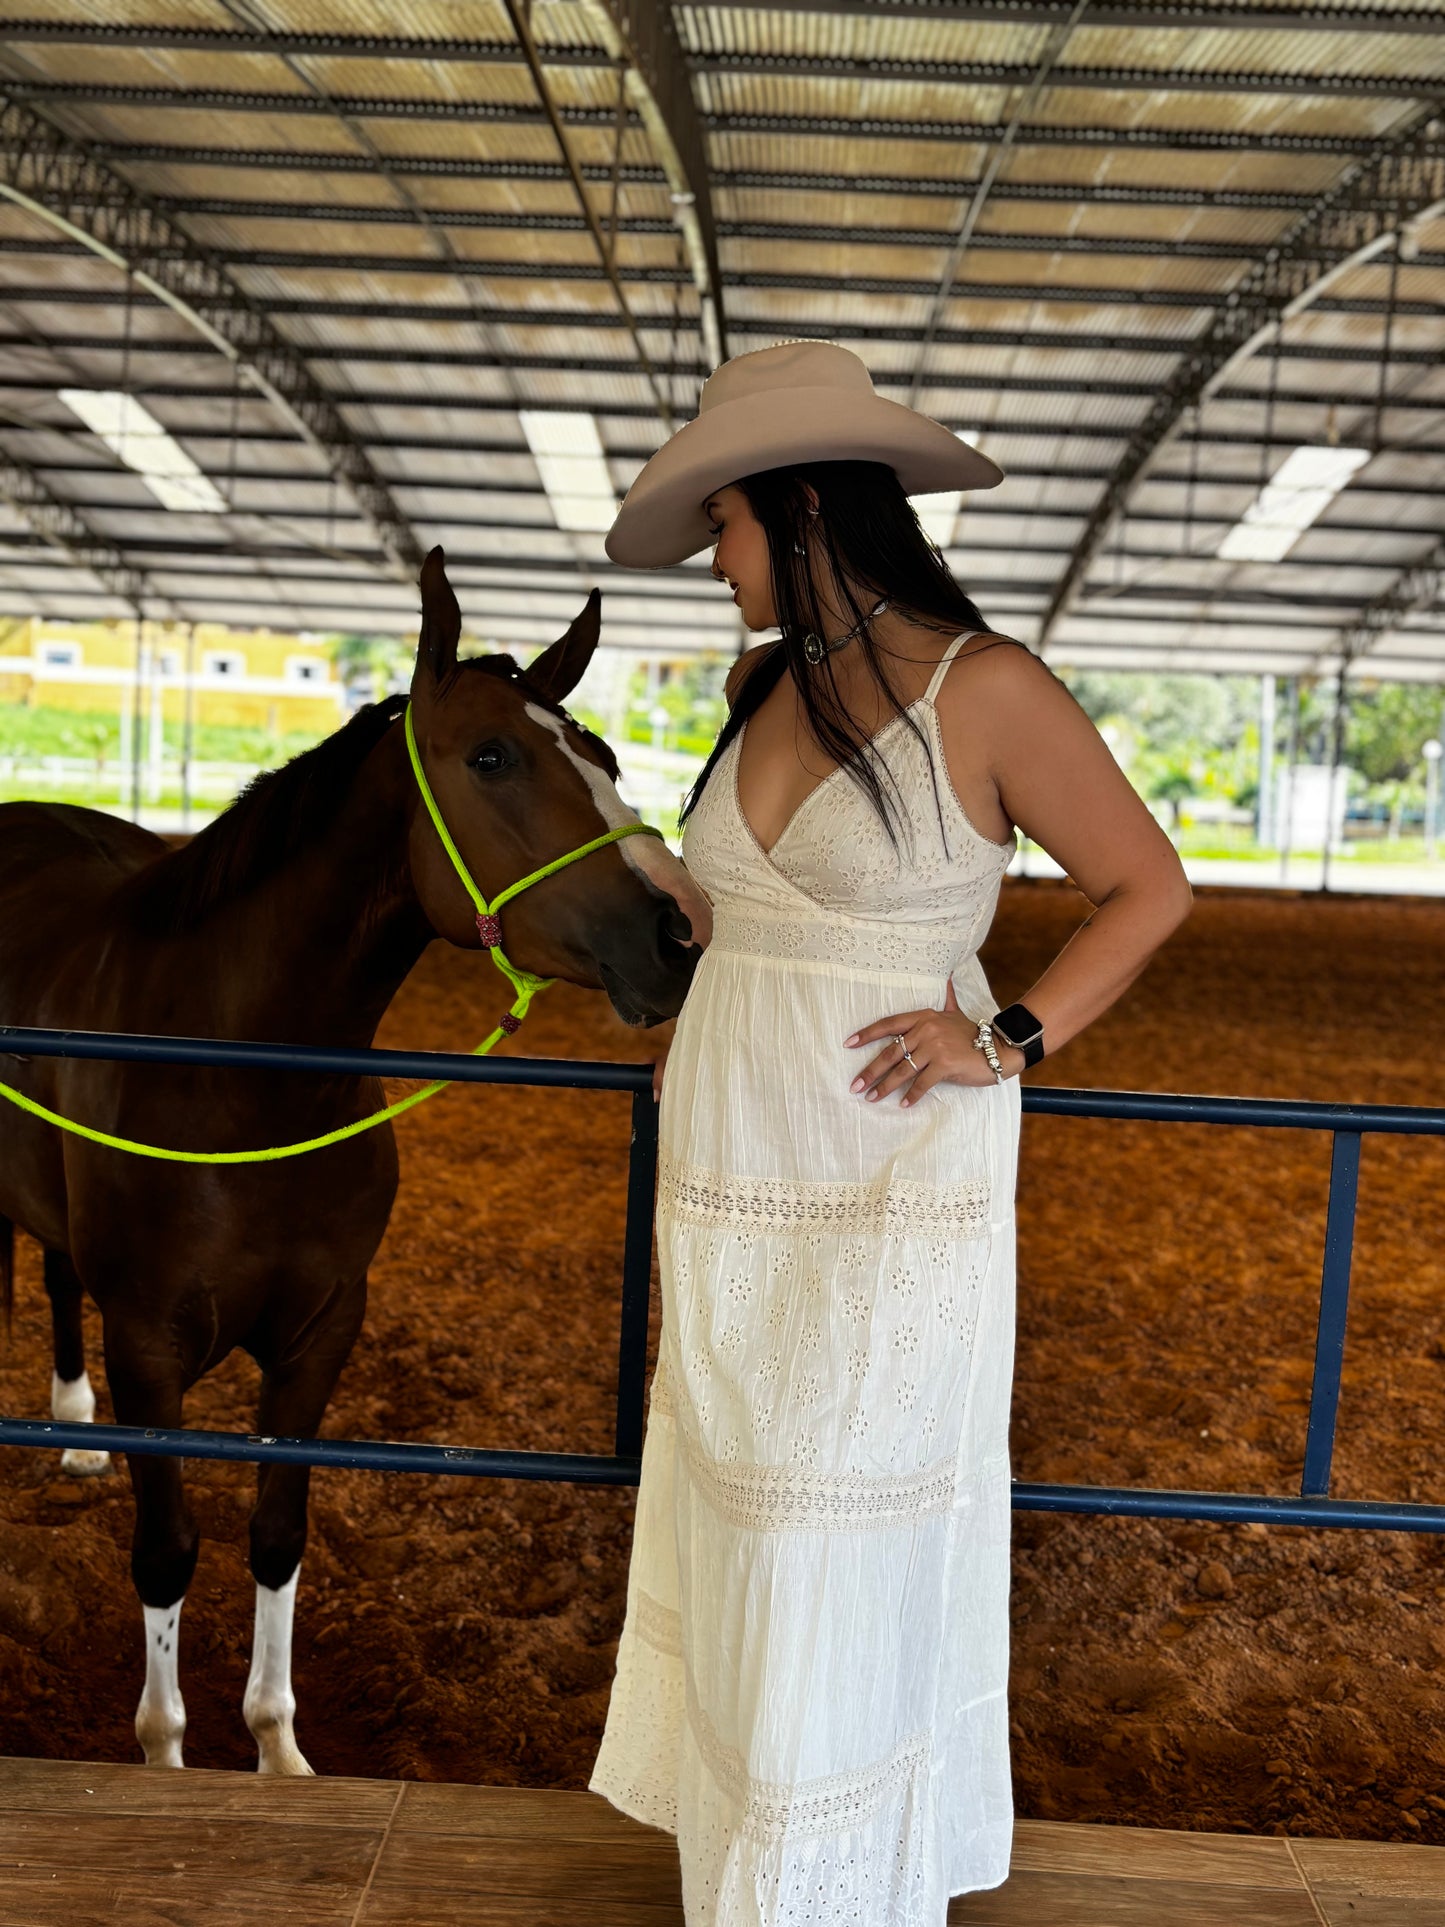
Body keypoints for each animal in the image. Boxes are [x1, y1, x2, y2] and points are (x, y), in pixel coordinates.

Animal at [0, 547, 712, 1772]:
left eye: (611, 758)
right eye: (491, 756)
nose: (675, 937)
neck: (244, 1084)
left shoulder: (322, 1331)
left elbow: (278, 1531)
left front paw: (277, 1746)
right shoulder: (149, 1345)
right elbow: (168, 1548)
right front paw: (166, 1749)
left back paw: (76, 1431)